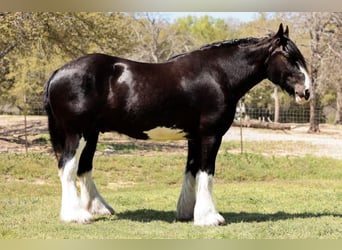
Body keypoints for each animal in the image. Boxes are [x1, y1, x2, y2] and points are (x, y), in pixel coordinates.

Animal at [43, 24, 310, 226]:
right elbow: (207, 173)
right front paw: (210, 217)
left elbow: (192, 170)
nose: (306, 91)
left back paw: (99, 208)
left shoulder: (194, 136)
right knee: (67, 168)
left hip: (92, 133)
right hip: (77, 133)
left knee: (84, 168)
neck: (218, 74)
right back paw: (76, 215)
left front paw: (187, 212)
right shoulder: (210, 135)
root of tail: (57, 72)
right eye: (290, 57)